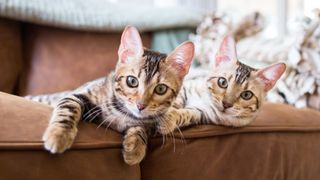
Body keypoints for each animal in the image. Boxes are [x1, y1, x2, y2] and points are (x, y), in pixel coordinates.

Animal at [26, 26, 194, 165]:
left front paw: (135, 147)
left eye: (160, 89)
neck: (124, 114)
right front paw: (59, 134)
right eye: (132, 81)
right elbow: (68, 107)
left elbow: (141, 128)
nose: (140, 105)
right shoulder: (78, 94)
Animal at [156, 35, 286, 134]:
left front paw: (168, 120)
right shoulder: (186, 87)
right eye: (222, 82)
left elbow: (186, 114)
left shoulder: (201, 113)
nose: (226, 104)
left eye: (247, 95)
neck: (206, 99)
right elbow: (177, 99)